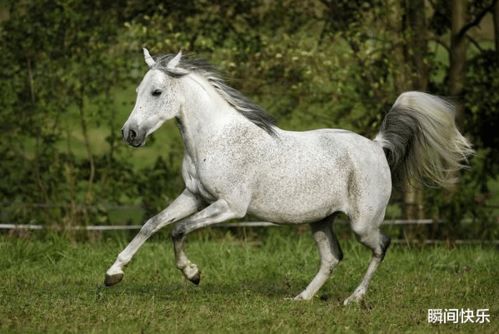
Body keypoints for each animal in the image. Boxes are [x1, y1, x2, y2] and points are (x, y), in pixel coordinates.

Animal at [104, 50, 472, 306]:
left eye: (155, 92)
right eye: (137, 90)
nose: (130, 133)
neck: (215, 138)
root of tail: (376, 145)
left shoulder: (230, 206)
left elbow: (179, 230)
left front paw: (192, 274)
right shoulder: (194, 196)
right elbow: (152, 224)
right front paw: (113, 274)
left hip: (362, 223)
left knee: (381, 246)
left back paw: (354, 299)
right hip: (320, 220)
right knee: (332, 258)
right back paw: (301, 298)